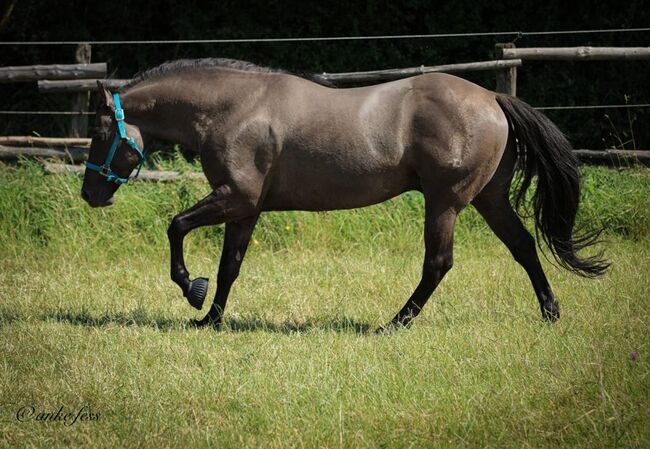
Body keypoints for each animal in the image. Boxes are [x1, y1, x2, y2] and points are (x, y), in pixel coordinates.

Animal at [79, 57, 604, 328]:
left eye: (100, 132)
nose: (90, 194)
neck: (236, 108)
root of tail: (493, 97)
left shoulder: (237, 198)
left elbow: (177, 227)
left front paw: (191, 289)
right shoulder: (246, 210)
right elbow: (230, 268)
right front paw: (209, 319)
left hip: (446, 202)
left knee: (438, 264)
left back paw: (395, 323)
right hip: (487, 199)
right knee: (524, 246)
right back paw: (550, 313)